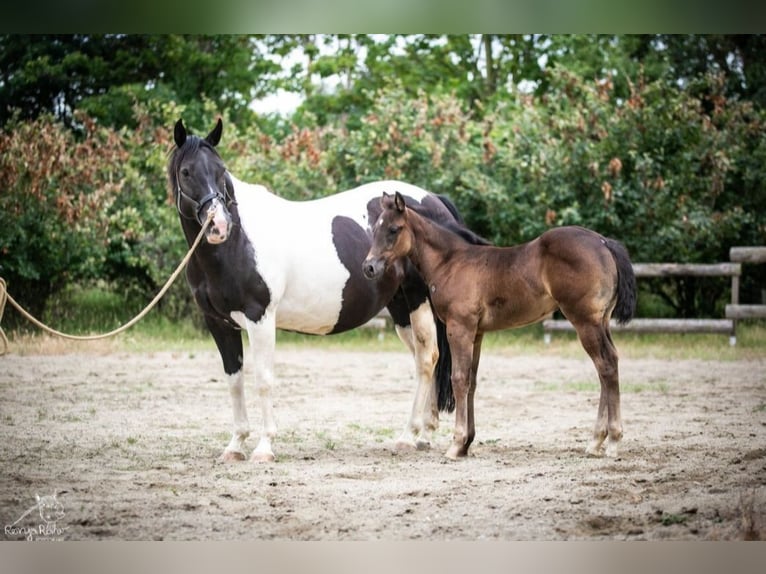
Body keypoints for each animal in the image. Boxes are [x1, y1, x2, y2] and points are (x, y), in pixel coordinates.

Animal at [169, 118, 472, 462]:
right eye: (186, 172)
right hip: (399, 307)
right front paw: (235, 445)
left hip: (417, 299)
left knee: (427, 358)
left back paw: (409, 436)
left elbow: (263, 379)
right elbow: (234, 382)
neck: (237, 243)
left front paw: (264, 447)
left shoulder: (260, 318)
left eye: (221, 171)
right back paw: (424, 433)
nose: (219, 225)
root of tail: (433, 199)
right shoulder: (219, 324)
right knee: (424, 358)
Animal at [363, 191, 637, 460]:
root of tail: (604, 242)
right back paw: (596, 442)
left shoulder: (459, 328)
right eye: (374, 230)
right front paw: (466, 444)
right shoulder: (477, 333)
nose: (369, 267)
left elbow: (458, 379)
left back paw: (612, 441)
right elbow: (471, 382)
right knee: (608, 364)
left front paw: (456, 444)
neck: (451, 262)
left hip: (585, 321)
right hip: (601, 321)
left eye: (394, 229)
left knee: (605, 366)